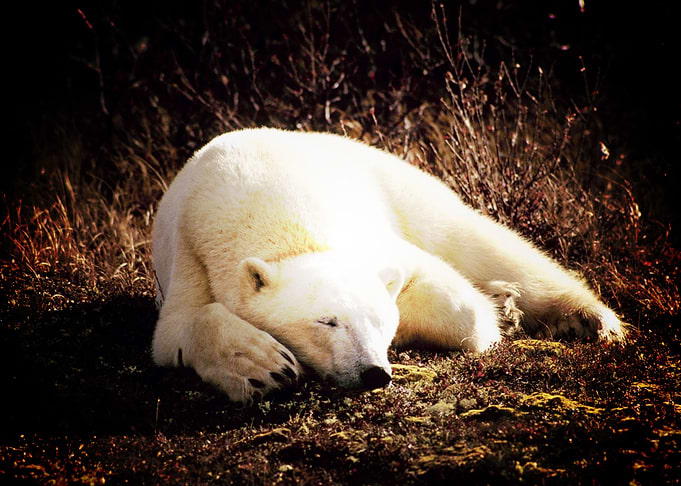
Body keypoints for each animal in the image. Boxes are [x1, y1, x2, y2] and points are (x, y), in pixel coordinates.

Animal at [152, 127, 626, 403]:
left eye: (379, 320)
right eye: (326, 321)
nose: (373, 373)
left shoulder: (371, 237)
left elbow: (453, 299)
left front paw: (497, 312)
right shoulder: (194, 250)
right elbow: (178, 327)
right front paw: (264, 364)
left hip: (399, 185)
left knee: (482, 243)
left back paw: (587, 318)